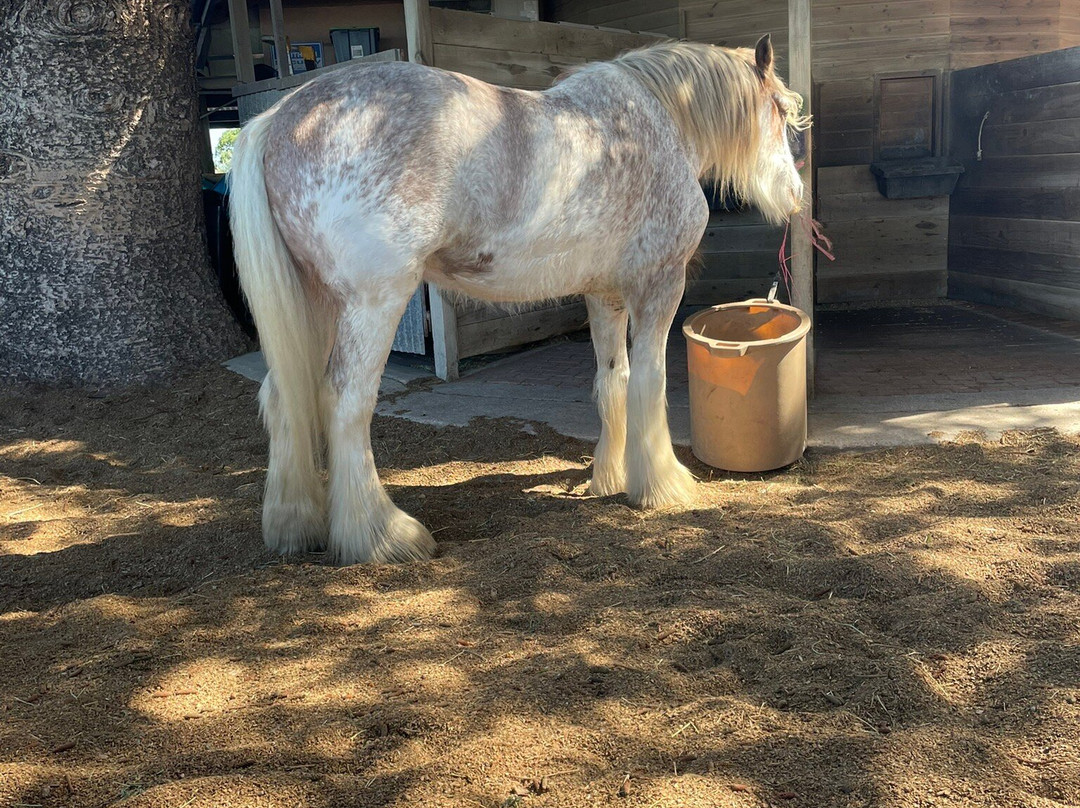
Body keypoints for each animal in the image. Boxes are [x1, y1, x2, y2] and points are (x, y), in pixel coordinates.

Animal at [228, 34, 809, 565]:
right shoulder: (659, 285)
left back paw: (294, 526)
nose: (796, 196)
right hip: (372, 303)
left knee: (282, 396)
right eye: (782, 112)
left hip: (319, 303)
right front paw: (663, 487)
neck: (657, 120)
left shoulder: (606, 296)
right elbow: (650, 383)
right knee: (346, 401)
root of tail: (278, 119)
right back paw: (381, 537)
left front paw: (610, 478)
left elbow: (613, 383)